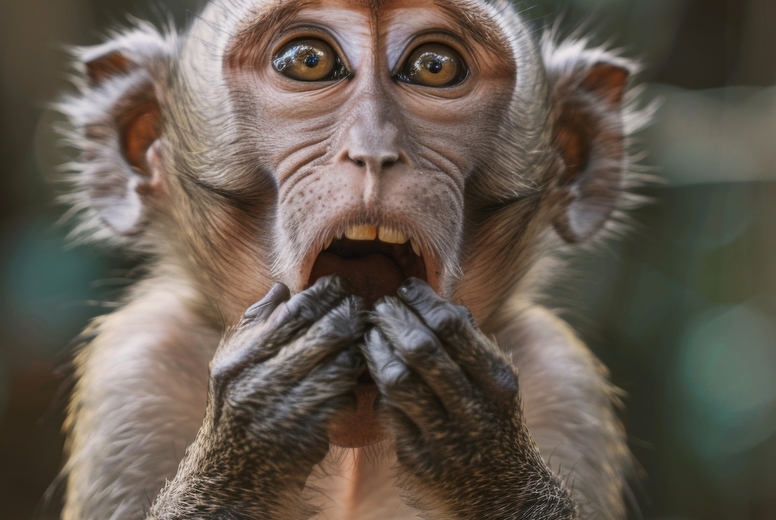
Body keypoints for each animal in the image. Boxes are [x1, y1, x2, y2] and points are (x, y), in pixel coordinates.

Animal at [57, 0, 644, 518]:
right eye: (308, 60)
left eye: (435, 67)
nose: (374, 151)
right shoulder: (138, 371)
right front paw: (256, 414)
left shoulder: (564, 382)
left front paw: (479, 442)